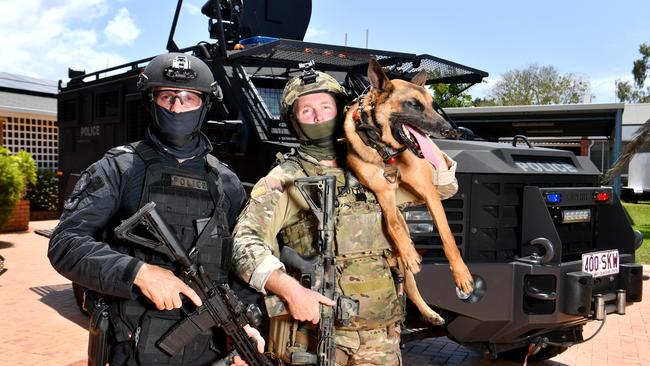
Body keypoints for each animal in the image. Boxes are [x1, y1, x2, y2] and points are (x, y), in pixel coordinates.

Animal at [342, 60, 474, 326]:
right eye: (413, 104)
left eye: (433, 105)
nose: (449, 130)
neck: (386, 152)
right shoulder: (383, 192)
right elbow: (392, 223)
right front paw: (410, 251)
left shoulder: (428, 192)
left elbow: (447, 236)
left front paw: (462, 275)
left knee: (410, 285)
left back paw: (430, 312)